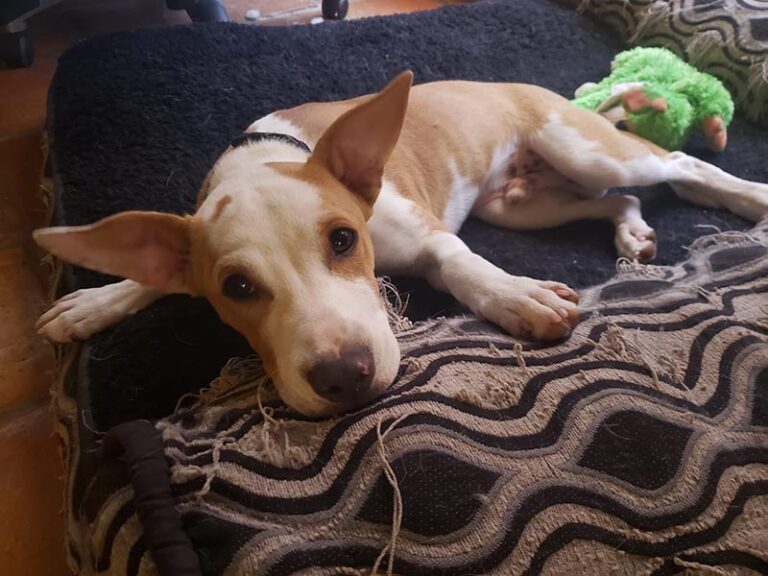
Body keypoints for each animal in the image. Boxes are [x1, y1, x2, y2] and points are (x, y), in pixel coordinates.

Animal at [34, 72, 768, 414]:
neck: (264, 158)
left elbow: (463, 265)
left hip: (583, 150)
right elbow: (153, 269)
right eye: (236, 288)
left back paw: (749, 197)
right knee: (620, 199)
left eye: (342, 239)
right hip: (523, 207)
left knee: (679, 168)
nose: (343, 377)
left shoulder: (428, 237)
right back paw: (633, 230)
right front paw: (92, 303)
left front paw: (517, 297)